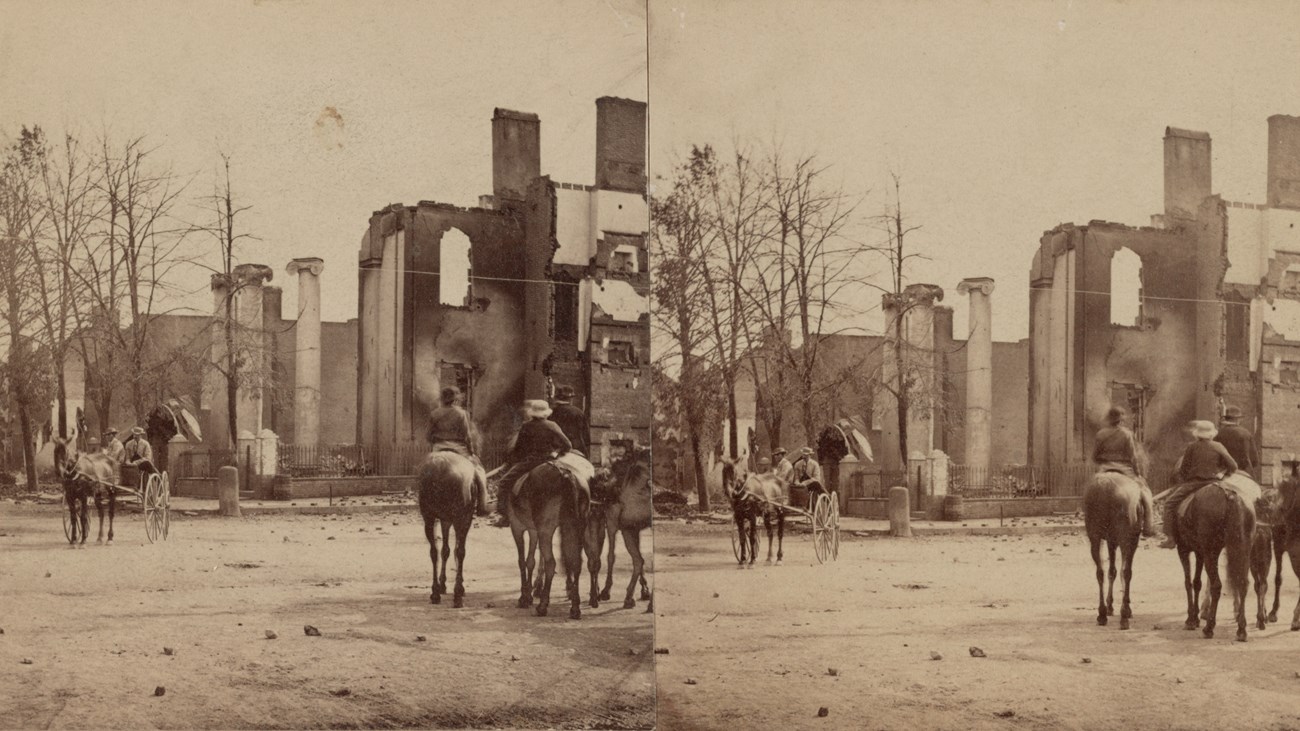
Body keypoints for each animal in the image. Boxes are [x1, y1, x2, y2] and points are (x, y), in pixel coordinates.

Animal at [416, 447, 483, 606]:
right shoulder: (460, 518)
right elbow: (455, 550)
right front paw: (457, 586)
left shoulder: (444, 520)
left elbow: (444, 550)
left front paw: (442, 585)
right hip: (460, 518)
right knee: (459, 551)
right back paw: (456, 594)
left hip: (429, 518)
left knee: (434, 551)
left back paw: (435, 592)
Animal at [506, 460, 590, 613]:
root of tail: (565, 475)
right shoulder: (534, 530)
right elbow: (531, 560)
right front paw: (529, 593)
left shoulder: (517, 527)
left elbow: (522, 561)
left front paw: (524, 597)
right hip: (577, 528)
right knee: (576, 562)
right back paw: (575, 606)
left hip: (546, 529)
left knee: (551, 563)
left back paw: (543, 605)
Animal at [1081, 468, 1144, 629]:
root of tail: (1106, 487)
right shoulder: (1131, 539)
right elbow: (1124, 572)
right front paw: (1126, 608)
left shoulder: (1110, 540)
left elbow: (1111, 571)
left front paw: (1110, 606)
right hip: (1125, 538)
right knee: (1126, 572)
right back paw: (1124, 616)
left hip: (1095, 536)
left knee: (1100, 572)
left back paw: (1102, 613)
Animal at [1175, 473, 1253, 637]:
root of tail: (1230, 496)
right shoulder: (1200, 552)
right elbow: (1196, 582)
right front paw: (1195, 618)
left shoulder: (1183, 549)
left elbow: (1188, 582)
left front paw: (1191, 619)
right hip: (1242, 551)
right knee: (1242, 583)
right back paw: (1241, 629)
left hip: (1211, 553)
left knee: (1216, 585)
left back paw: (1209, 627)